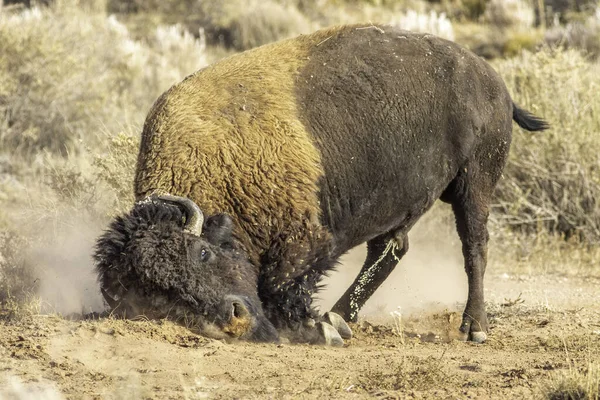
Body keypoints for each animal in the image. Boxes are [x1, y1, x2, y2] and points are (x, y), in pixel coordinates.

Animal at [94, 23, 548, 346]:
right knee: (390, 248)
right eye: (161, 299)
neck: (216, 165)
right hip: (401, 201)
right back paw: (341, 316)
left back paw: (474, 328)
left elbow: (282, 286)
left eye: (203, 253)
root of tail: (493, 80)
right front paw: (325, 326)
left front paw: (318, 330)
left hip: (474, 184)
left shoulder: (308, 243)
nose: (234, 318)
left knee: (474, 247)